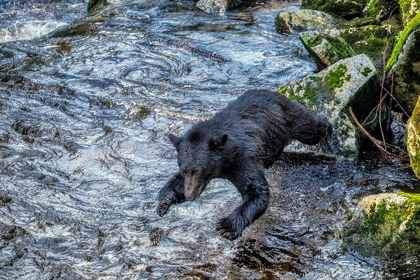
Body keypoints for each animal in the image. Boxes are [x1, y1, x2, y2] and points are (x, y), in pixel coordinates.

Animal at [156, 90, 330, 241]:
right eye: (184, 170)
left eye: (198, 170)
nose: (189, 195)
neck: (224, 162)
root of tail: (273, 92)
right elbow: (176, 182)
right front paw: (165, 200)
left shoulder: (242, 159)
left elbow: (256, 191)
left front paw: (226, 226)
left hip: (290, 118)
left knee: (310, 128)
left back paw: (328, 129)